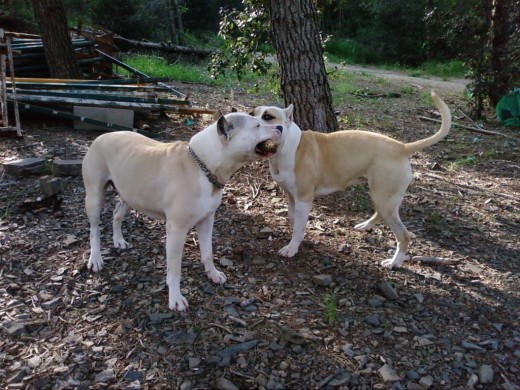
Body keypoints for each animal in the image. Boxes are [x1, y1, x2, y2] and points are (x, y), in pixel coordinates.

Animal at [83, 112, 282, 310]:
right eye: (257, 126)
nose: (280, 127)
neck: (204, 165)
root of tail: (102, 136)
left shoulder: (207, 220)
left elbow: (208, 252)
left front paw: (213, 274)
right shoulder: (177, 231)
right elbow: (175, 269)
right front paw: (175, 298)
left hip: (129, 193)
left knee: (117, 214)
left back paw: (118, 240)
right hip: (94, 196)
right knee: (94, 229)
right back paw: (96, 258)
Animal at [251, 90, 450, 268]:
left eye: (268, 117)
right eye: (253, 114)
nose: (250, 121)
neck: (288, 147)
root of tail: (402, 147)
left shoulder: (303, 199)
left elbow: (298, 225)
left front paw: (292, 248)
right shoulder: (292, 198)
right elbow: (294, 221)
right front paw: (299, 238)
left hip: (384, 198)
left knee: (403, 236)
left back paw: (394, 263)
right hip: (381, 197)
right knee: (380, 213)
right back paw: (365, 226)